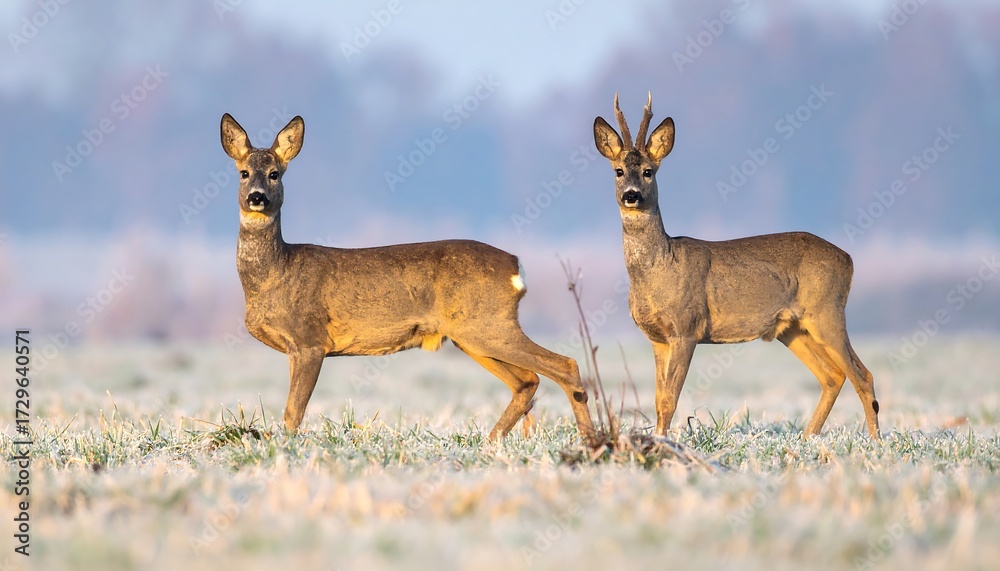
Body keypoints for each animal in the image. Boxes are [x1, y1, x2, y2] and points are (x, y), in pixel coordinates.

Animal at [220, 113, 596, 445]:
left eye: (274, 174)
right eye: (243, 173)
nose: (257, 197)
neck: (276, 272)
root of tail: (516, 266)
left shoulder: (311, 340)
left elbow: (293, 412)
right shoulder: (293, 349)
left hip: (487, 324)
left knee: (564, 364)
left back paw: (590, 441)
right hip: (470, 334)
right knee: (527, 381)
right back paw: (492, 441)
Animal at [592, 93, 880, 439]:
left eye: (649, 171)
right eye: (619, 171)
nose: (632, 195)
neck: (660, 268)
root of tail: (849, 259)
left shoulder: (687, 327)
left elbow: (670, 399)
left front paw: (663, 444)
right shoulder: (657, 337)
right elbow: (659, 399)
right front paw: (658, 439)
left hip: (827, 310)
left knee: (862, 375)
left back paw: (876, 442)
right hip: (792, 327)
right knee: (833, 376)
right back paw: (808, 437)